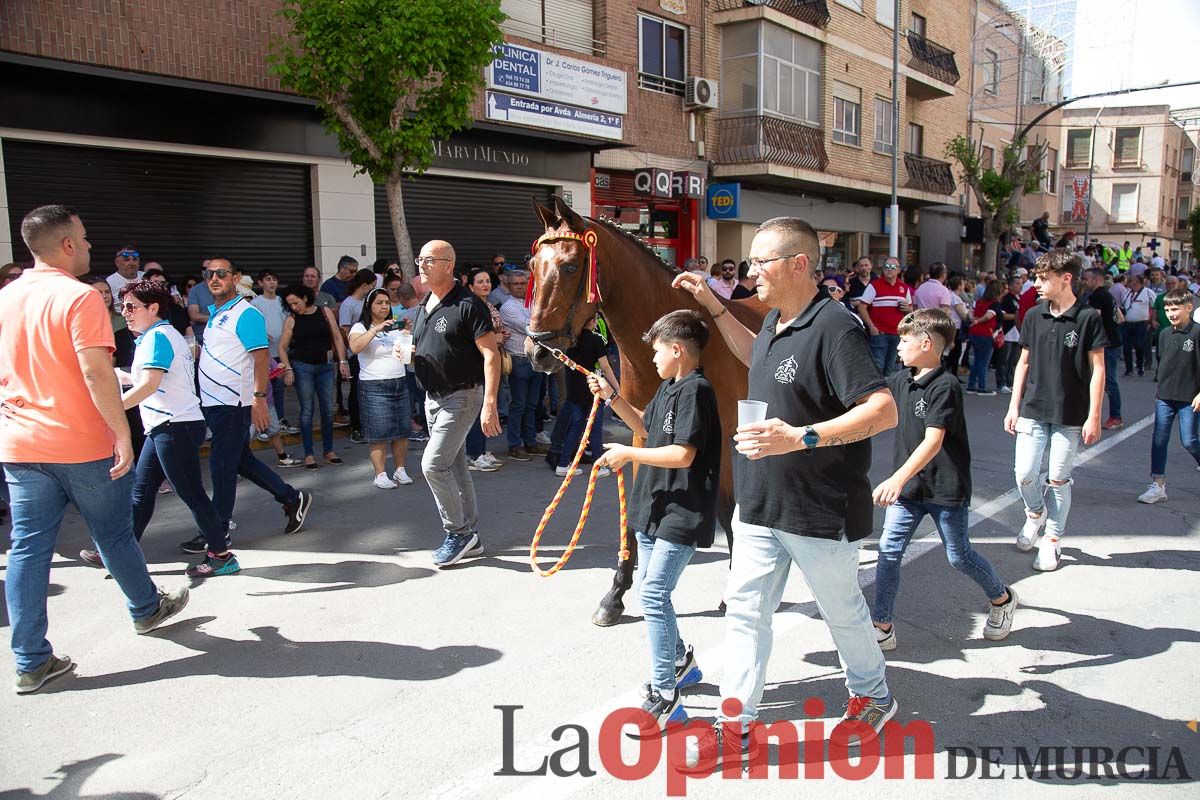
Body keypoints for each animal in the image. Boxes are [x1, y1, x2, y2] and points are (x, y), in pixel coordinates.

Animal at [528, 194, 768, 623]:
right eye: (532, 266)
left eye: (570, 267)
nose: (537, 350)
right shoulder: (644, 433)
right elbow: (634, 512)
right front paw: (616, 593)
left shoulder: (719, 438)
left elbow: (725, 510)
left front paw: (731, 592)